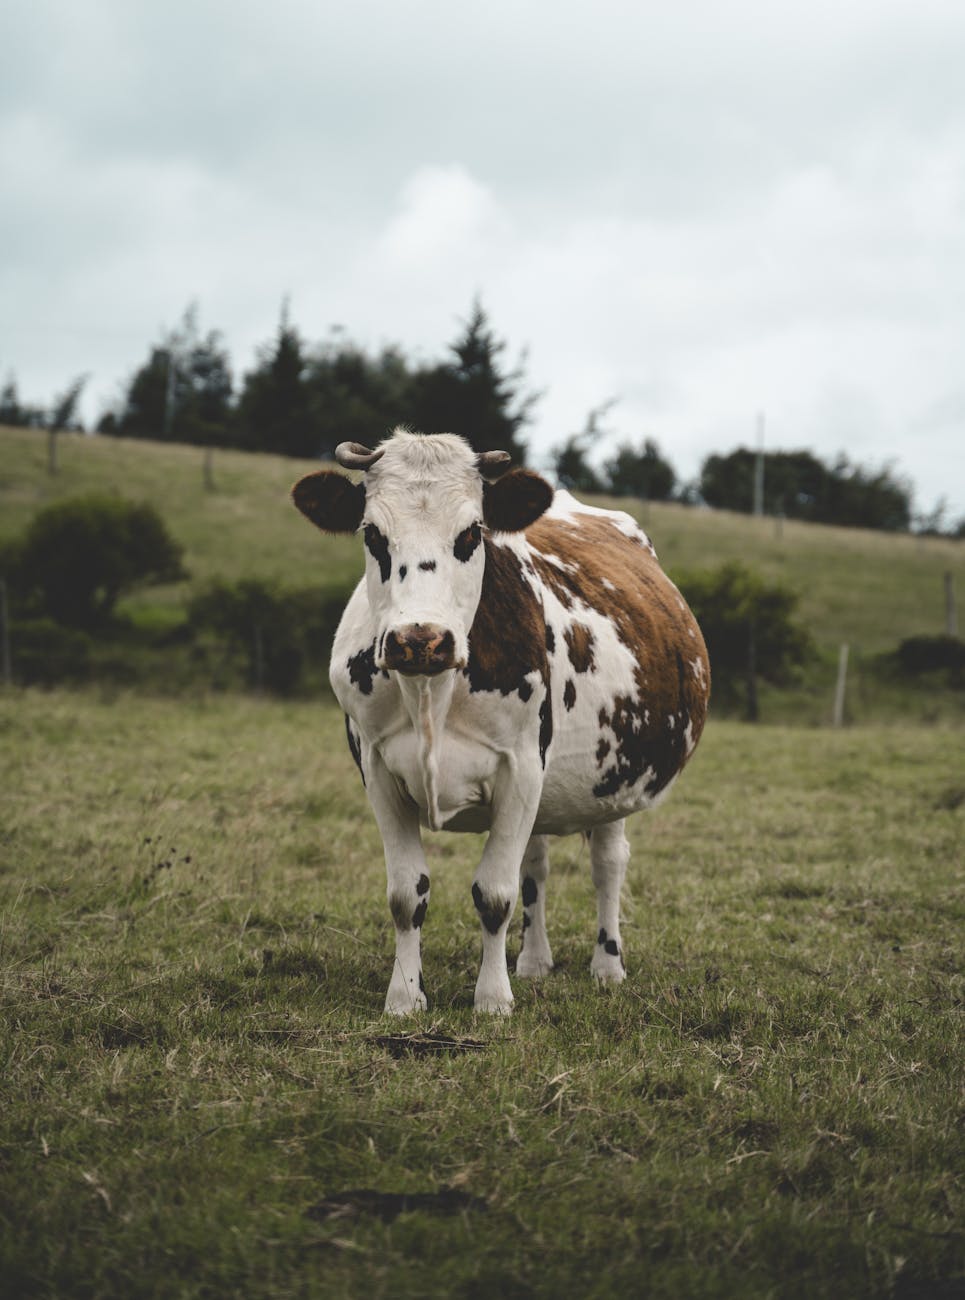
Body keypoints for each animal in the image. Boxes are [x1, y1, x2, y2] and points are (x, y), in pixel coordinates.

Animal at [292, 429, 709, 1015]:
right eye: (373, 533)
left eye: (471, 533)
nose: (420, 639)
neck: (431, 691)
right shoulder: (376, 770)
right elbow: (407, 894)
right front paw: (405, 996)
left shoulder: (522, 769)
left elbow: (494, 894)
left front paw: (492, 999)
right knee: (535, 863)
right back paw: (533, 962)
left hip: (613, 781)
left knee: (608, 864)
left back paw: (607, 966)